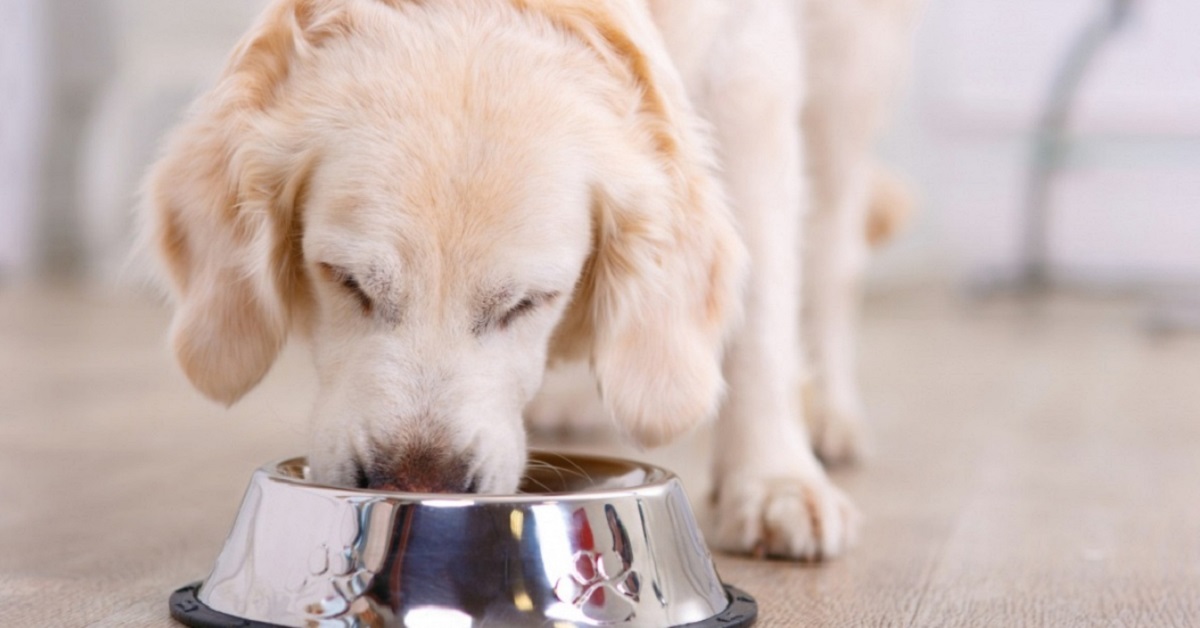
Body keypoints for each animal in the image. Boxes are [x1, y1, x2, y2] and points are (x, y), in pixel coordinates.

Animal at [145, 0, 921, 559]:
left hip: (848, 71)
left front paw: (774, 481)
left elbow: (761, 306)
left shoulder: (750, 69)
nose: (419, 487)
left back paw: (829, 415)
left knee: (831, 252)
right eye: (346, 281)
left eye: (528, 302)